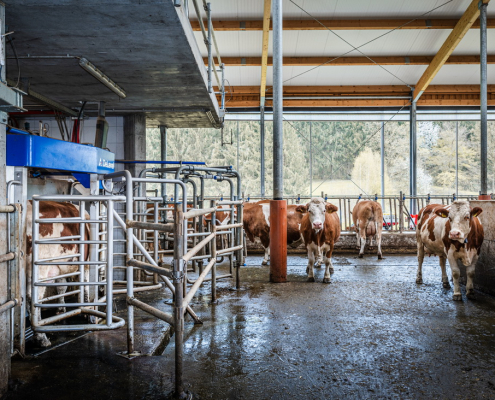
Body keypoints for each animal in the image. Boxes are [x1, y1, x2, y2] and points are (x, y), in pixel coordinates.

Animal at [25, 200, 91, 346]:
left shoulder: (60, 267)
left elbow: (61, 286)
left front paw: (61, 309)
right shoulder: (86, 261)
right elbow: (85, 284)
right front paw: (86, 310)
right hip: (40, 268)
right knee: (34, 297)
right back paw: (41, 337)